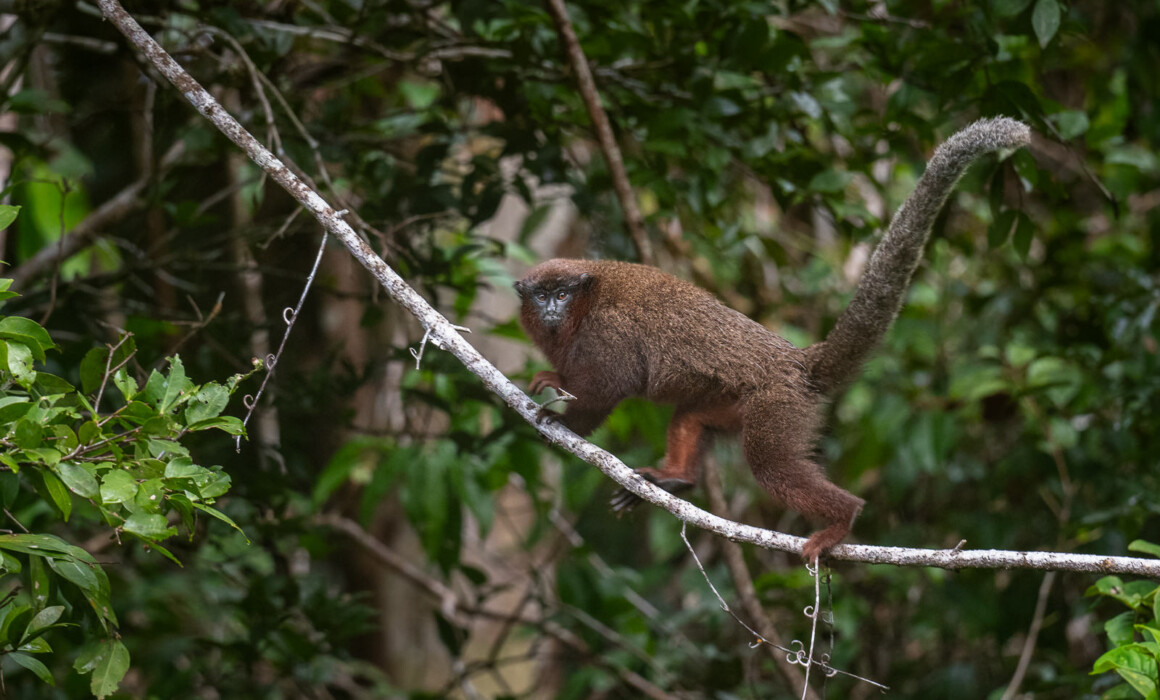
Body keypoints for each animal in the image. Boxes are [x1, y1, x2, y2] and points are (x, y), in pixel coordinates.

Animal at [513, 118, 1032, 563]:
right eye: (541, 296)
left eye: (561, 294)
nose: (552, 309)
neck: (585, 306)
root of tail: (799, 360)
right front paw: (551, 376)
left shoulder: (607, 332)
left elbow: (609, 387)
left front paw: (562, 421)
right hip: (733, 402)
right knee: (691, 416)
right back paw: (677, 478)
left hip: (778, 404)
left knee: (769, 464)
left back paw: (841, 519)